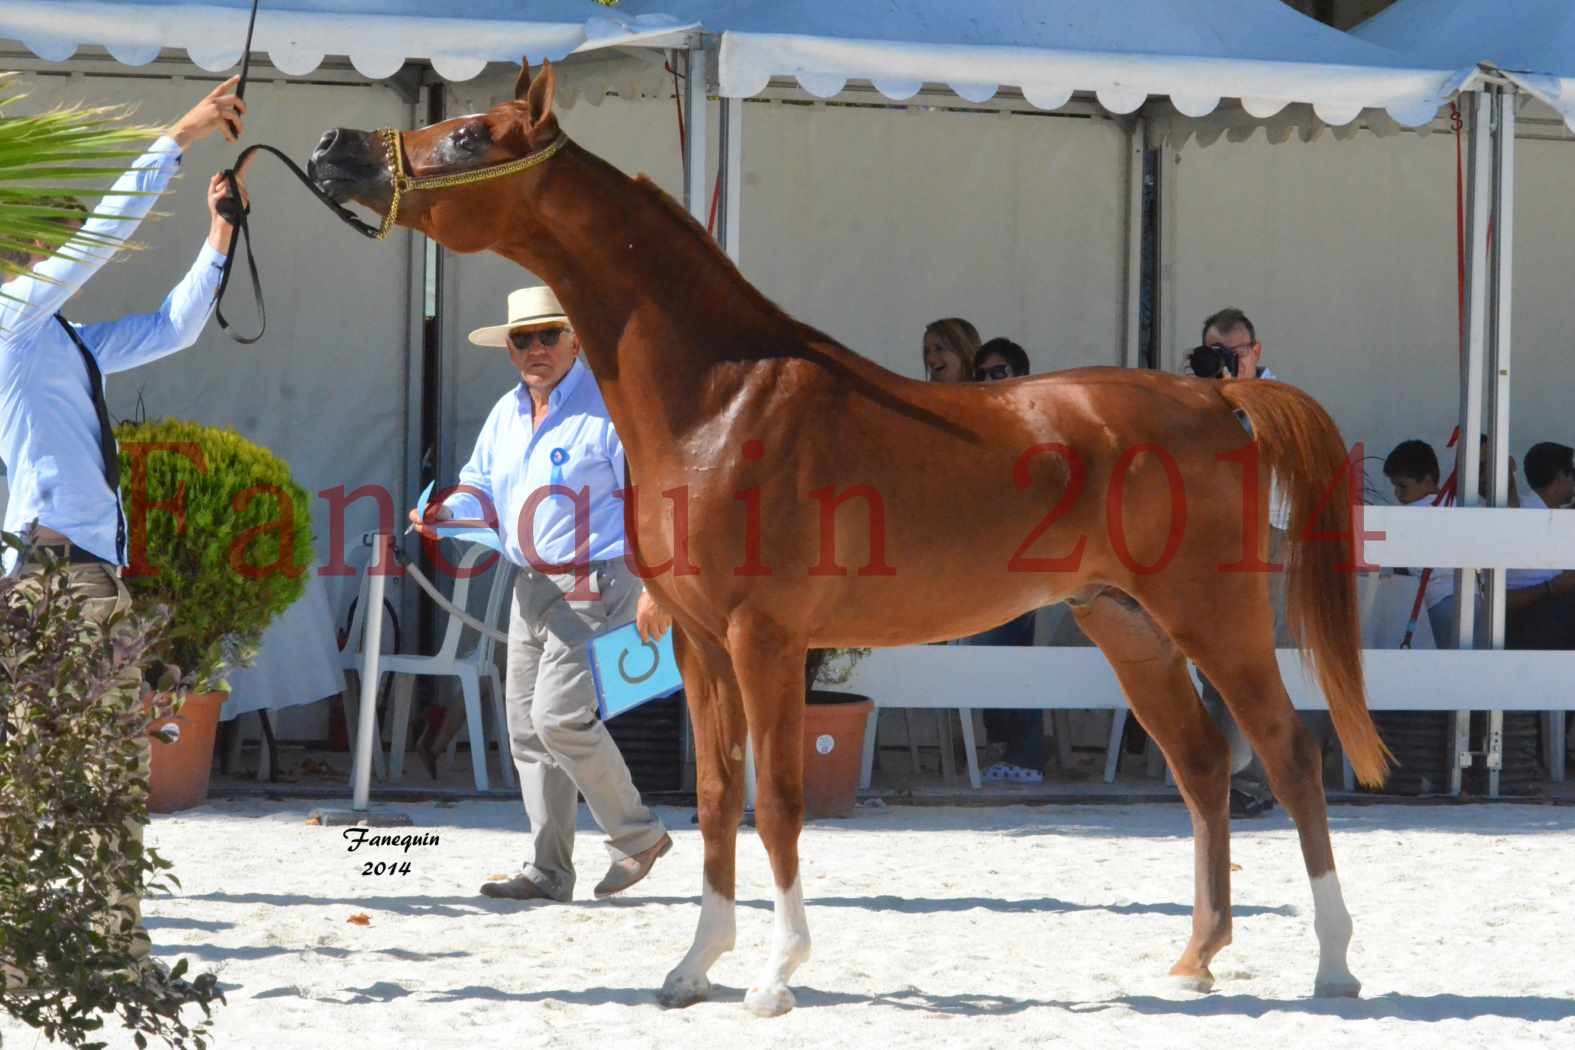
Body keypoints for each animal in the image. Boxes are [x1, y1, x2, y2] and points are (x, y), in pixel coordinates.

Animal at [310, 61, 1392, 1013]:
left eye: (469, 135)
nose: (333, 147)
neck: (719, 398)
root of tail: (1218, 395)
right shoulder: (700, 645)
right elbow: (717, 796)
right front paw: (694, 968)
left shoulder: (767, 640)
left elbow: (782, 798)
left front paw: (775, 977)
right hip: (1125, 624)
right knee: (1203, 765)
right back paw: (1196, 960)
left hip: (1216, 616)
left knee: (1287, 754)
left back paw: (1336, 967)